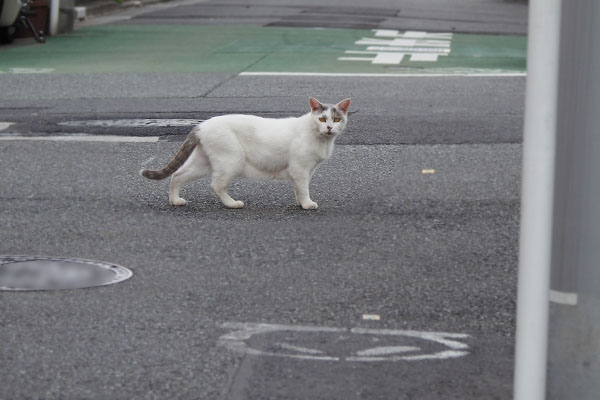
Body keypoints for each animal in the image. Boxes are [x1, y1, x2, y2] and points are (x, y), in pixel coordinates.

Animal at [142, 97, 352, 209]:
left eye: (336, 119)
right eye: (322, 119)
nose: (329, 128)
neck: (322, 140)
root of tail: (202, 125)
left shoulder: (306, 170)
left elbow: (299, 189)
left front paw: (301, 203)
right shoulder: (300, 169)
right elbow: (303, 188)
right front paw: (307, 204)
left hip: (202, 163)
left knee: (177, 175)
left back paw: (175, 200)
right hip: (233, 160)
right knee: (216, 185)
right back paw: (232, 203)